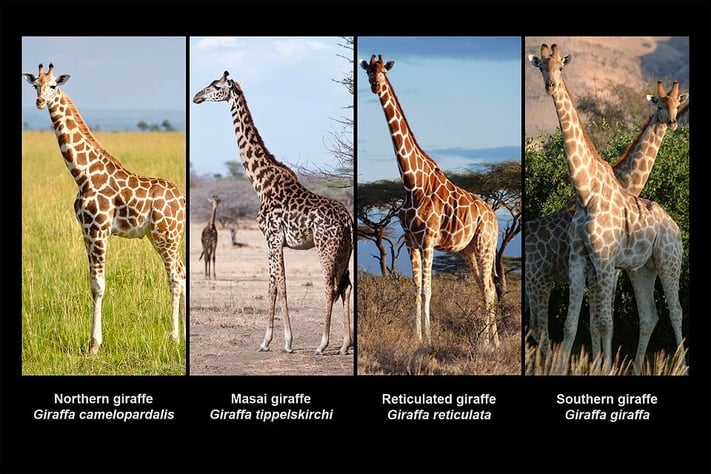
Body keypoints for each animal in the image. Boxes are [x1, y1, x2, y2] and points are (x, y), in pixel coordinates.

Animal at [22, 63, 186, 354]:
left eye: (53, 85)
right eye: (34, 86)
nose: (40, 101)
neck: (83, 173)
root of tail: (183, 201)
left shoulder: (98, 230)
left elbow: (99, 286)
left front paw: (94, 346)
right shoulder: (86, 232)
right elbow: (91, 283)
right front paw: (93, 343)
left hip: (167, 236)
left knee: (175, 277)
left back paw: (174, 337)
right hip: (159, 237)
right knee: (183, 272)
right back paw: (187, 334)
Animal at [192, 71, 353, 355]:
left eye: (216, 85)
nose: (196, 97)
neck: (261, 183)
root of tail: (347, 221)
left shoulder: (273, 238)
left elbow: (279, 285)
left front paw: (282, 342)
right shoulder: (274, 241)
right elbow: (275, 286)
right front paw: (271, 341)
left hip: (326, 247)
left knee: (330, 286)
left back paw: (322, 344)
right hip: (345, 250)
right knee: (346, 286)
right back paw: (345, 344)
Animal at [360, 55, 500, 346]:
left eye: (383, 72)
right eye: (368, 71)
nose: (375, 86)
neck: (412, 182)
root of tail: (494, 217)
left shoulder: (428, 239)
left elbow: (428, 288)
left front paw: (430, 338)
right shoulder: (410, 240)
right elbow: (417, 288)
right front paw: (418, 337)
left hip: (485, 245)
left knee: (489, 288)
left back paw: (487, 342)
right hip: (470, 250)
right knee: (486, 287)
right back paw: (493, 342)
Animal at [528, 44, 685, 373]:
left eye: (560, 67)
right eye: (541, 67)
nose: (550, 86)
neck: (587, 192)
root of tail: (675, 224)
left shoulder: (605, 262)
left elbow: (600, 320)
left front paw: (602, 366)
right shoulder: (583, 260)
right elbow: (577, 323)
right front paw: (574, 367)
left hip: (667, 260)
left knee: (674, 310)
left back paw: (677, 365)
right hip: (632, 270)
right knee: (649, 314)